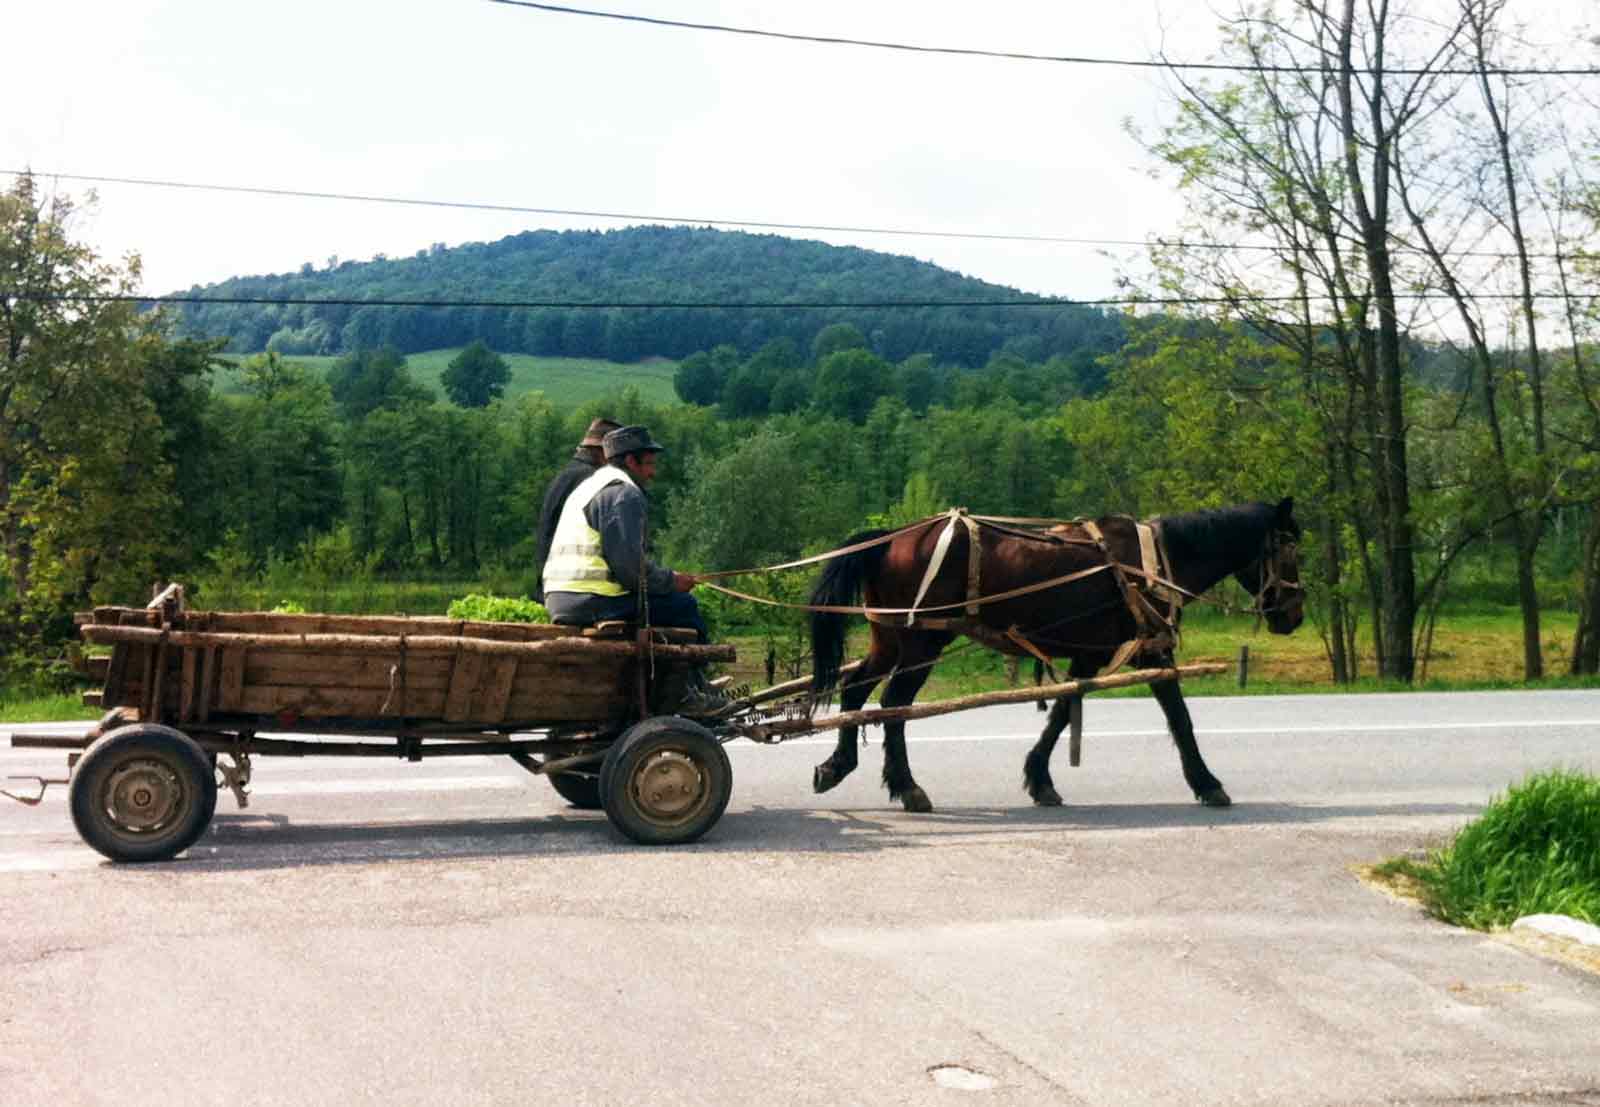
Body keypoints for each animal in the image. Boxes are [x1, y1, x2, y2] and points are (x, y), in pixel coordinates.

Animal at [812, 495, 1299, 809]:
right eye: (1293, 547)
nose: (1294, 614)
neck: (1152, 563)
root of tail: (893, 537)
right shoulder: (1151, 652)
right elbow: (1179, 717)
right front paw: (1207, 783)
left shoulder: (1090, 653)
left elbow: (1065, 709)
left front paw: (1039, 779)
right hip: (921, 643)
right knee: (893, 705)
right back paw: (907, 787)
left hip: (890, 637)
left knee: (855, 688)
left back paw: (837, 765)